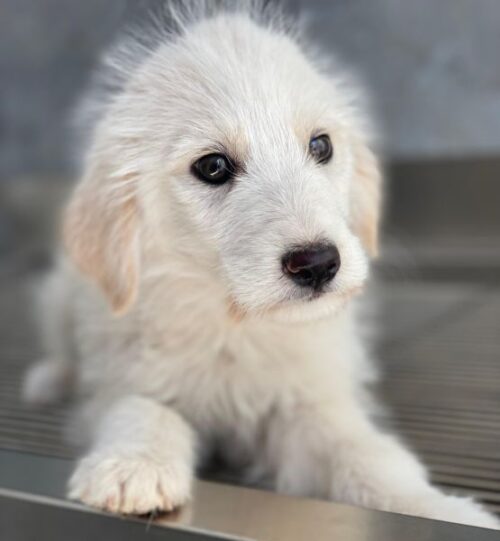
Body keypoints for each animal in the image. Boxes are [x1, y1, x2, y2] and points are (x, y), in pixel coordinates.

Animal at [23, 0, 498, 528]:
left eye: (321, 146)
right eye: (212, 166)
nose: (317, 264)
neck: (236, 326)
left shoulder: (306, 406)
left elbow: (364, 454)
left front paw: (438, 509)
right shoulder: (123, 377)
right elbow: (142, 407)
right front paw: (134, 465)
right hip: (58, 297)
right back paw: (48, 379)